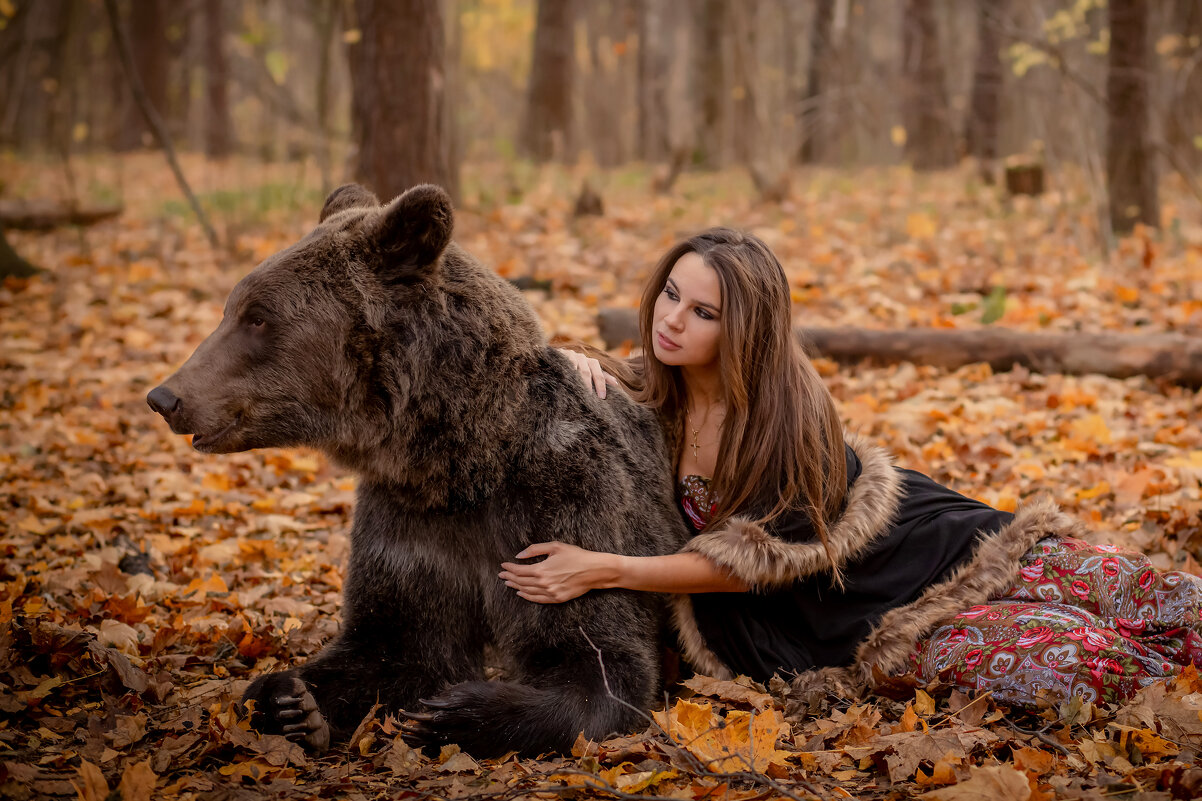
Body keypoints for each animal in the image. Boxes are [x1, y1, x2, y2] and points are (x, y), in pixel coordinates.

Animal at [149, 182, 692, 755]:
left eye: (257, 316)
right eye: (232, 308)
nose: (165, 397)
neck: (464, 462)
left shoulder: (561, 507)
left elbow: (597, 661)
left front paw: (451, 714)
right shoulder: (410, 522)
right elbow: (394, 642)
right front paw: (292, 702)